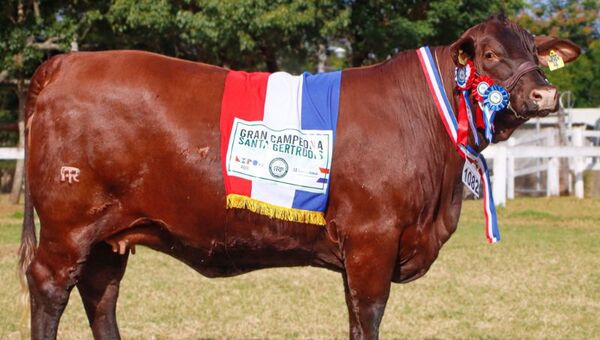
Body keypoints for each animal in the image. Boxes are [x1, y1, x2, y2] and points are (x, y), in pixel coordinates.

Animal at [19, 14, 580, 338]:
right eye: (489, 54)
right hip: (69, 224)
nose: (546, 94)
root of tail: (65, 63)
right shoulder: (372, 240)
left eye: (536, 52)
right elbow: (368, 316)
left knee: (101, 294)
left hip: (108, 233)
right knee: (50, 287)